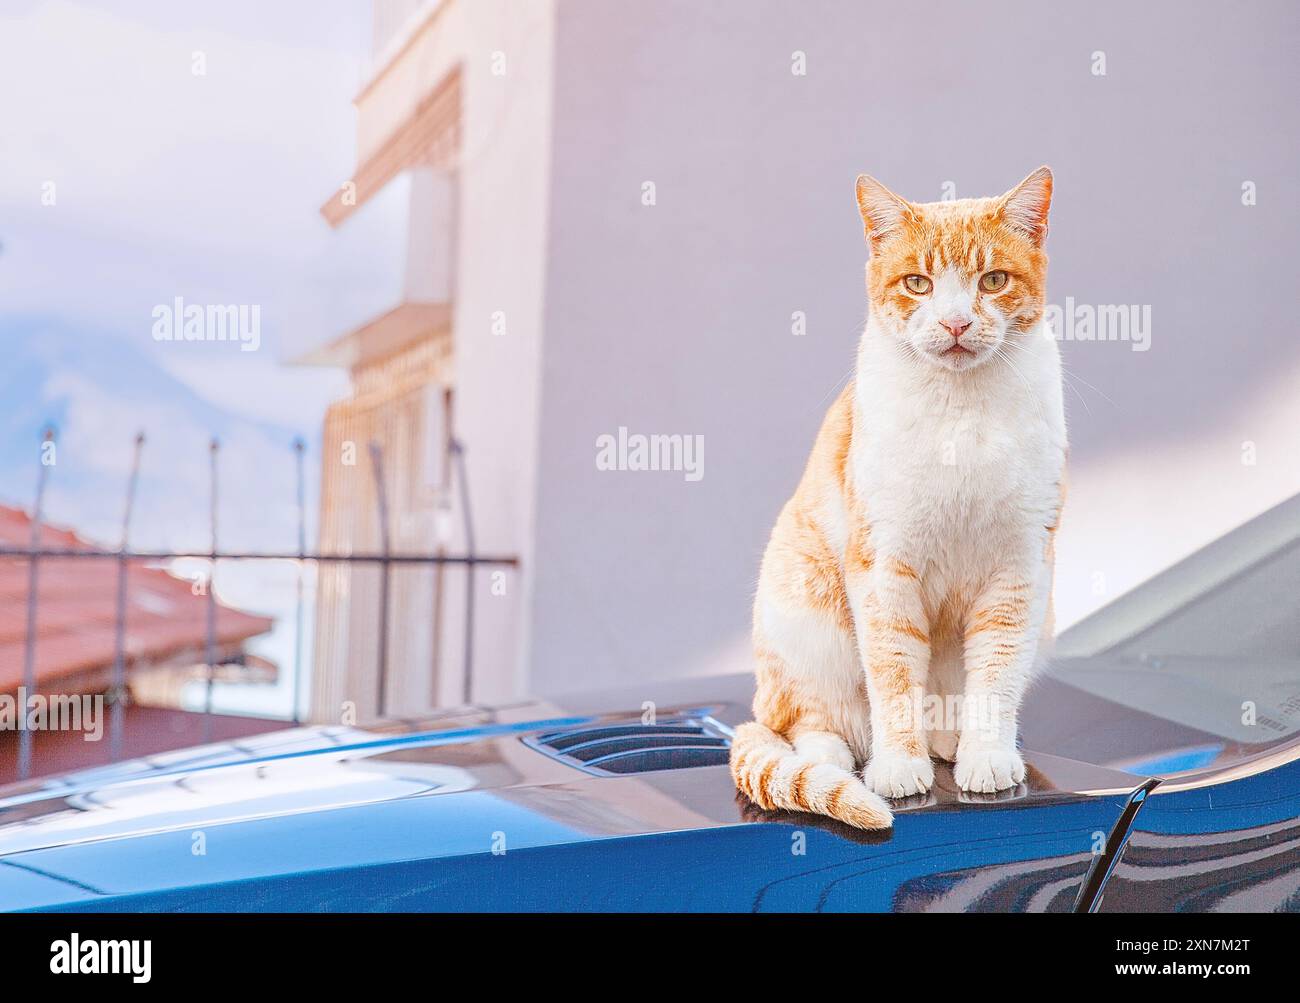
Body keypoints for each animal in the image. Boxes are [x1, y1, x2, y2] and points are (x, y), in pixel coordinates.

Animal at [733, 168, 1066, 831]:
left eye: (993, 281)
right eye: (918, 283)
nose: (957, 323)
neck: (962, 415)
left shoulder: (1018, 572)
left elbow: (996, 674)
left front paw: (986, 755)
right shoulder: (884, 570)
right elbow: (891, 678)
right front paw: (897, 767)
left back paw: (949, 740)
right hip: (803, 619)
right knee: (805, 724)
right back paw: (838, 760)